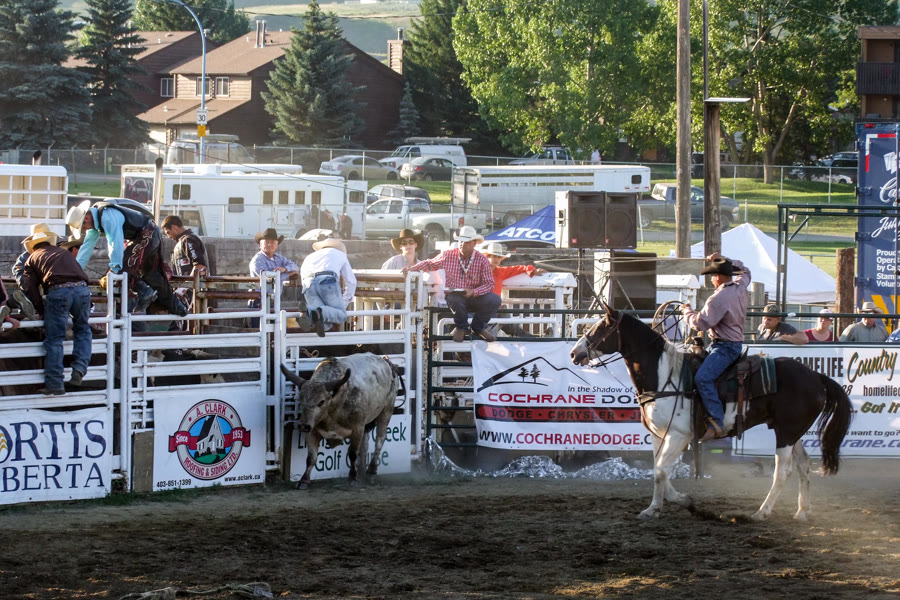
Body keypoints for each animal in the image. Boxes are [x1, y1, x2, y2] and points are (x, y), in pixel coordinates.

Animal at [280, 353, 400, 489]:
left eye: (321, 402)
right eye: (301, 399)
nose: (303, 426)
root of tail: (386, 361)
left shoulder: (357, 429)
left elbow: (352, 453)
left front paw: (352, 478)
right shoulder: (312, 431)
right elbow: (311, 457)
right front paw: (304, 480)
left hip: (386, 410)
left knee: (379, 440)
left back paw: (371, 471)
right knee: (365, 443)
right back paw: (362, 471)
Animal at [570, 302, 852, 521]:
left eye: (599, 328)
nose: (574, 353)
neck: (664, 375)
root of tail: (816, 376)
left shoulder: (680, 435)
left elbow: (661, 470)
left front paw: (683, 502)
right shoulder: (659, 435)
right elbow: (659, 471)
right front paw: (655, 508)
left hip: (785, 433)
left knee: (783, 472)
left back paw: (761, 512)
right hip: (792, 433)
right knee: (804, 465)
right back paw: (802, 511)